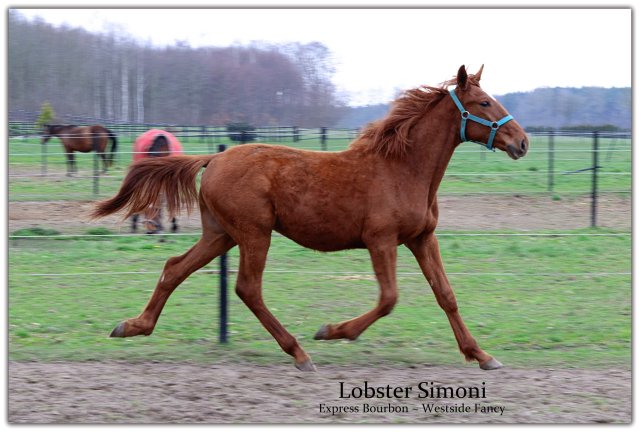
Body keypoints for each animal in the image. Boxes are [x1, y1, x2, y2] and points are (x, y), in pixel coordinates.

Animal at [91, 66, 528, 372]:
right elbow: (389, 299)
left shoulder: (422, 239)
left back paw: (132, 325)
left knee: (174, 268)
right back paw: (299, 352)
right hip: (254, 233)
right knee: (247, 288)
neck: (402, 169)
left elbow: (446, 295)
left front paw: (482, 355)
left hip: (221, 234)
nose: (522, 142)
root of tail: (213, 159)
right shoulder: (381, 240)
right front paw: (332, 332)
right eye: (484, 103)